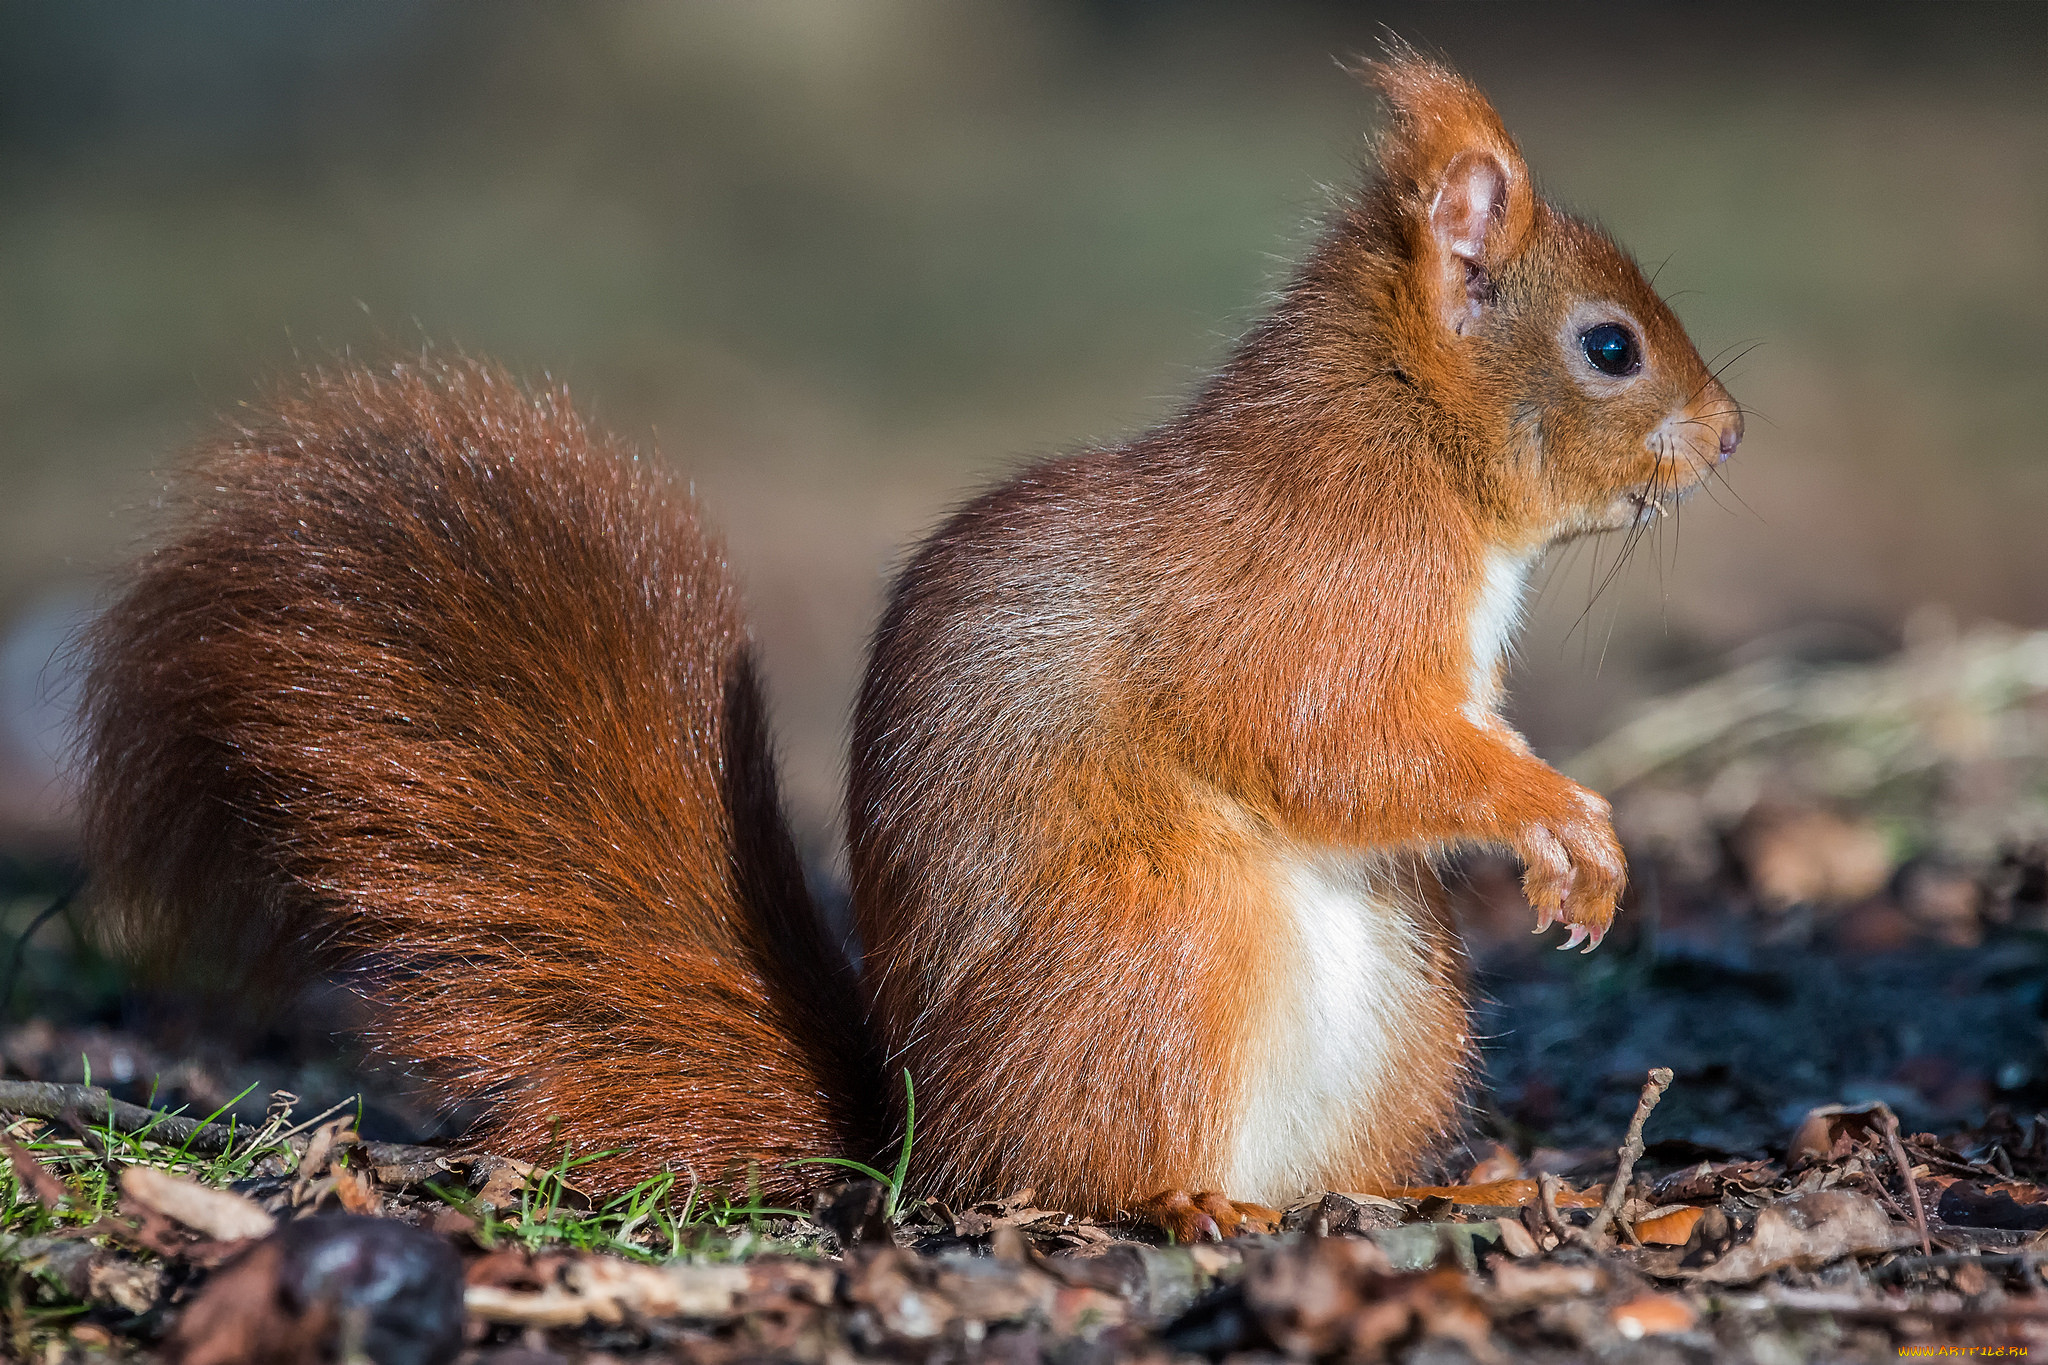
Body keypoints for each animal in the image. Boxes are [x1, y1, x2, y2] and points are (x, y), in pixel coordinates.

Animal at [79, 61, 1744, 1236]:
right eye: (1609, 346)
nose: (1730, 434)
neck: (1406, 453)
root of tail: (925, 1144)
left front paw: (1579, 849)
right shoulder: (1308, 606)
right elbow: (1326, 743)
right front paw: (1563, 823)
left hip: (1404, 1006)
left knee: (1343, 1172)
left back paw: (1453, 1187)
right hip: (1158, 953)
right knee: (1086, 1175)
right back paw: (1186, 1199)